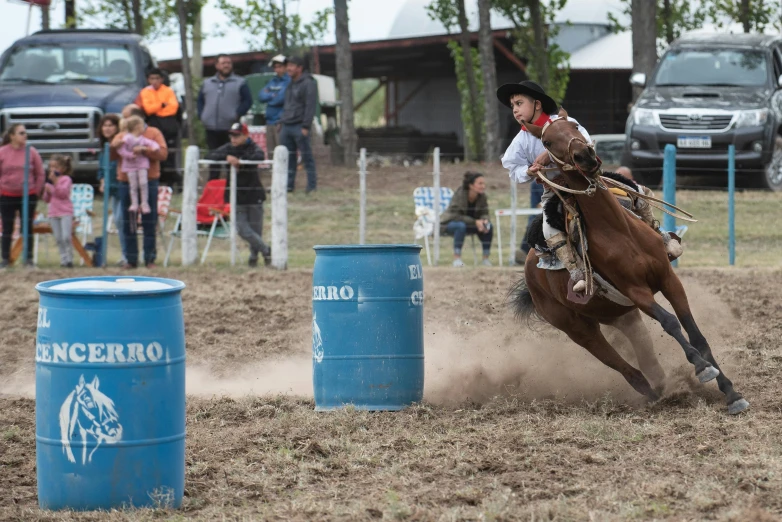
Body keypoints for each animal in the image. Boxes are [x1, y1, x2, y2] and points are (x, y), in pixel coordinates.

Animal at [512, 108, 752, 414]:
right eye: (547, 142)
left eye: (575, 126)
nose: (585, 156)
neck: (620, 232)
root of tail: (531, 271)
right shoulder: (637, 292)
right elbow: (670, 322)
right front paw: (702, 369)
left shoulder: (668, 280)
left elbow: (694, 332)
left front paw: (730, 392)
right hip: (577, 328)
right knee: (623, 367)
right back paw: (656, 395)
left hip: (619, 314)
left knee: (642, 350)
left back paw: (664, 384)